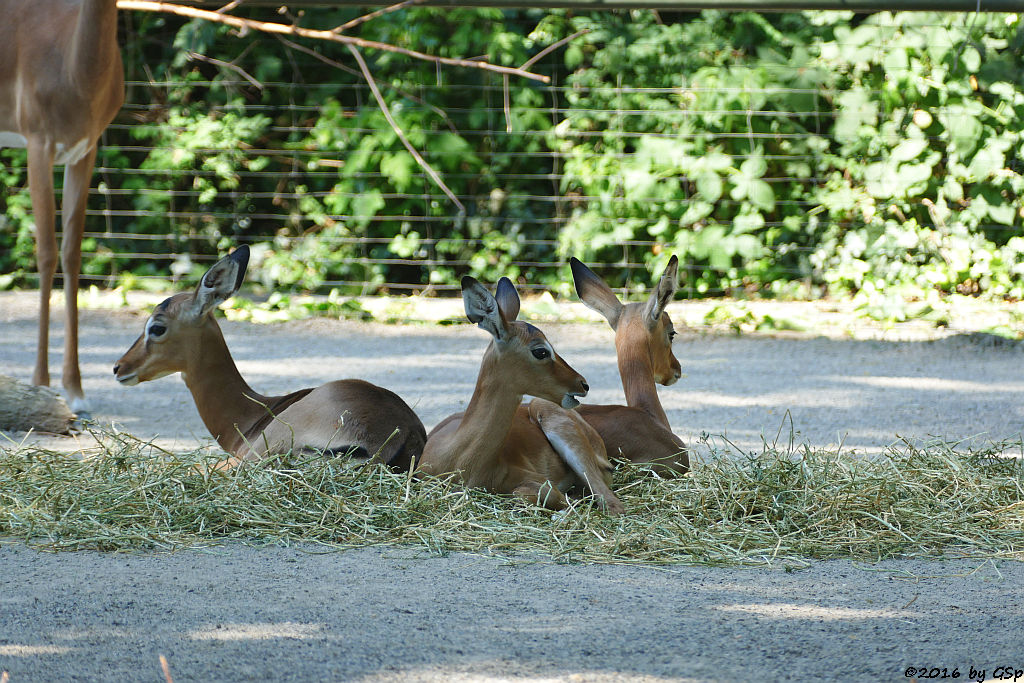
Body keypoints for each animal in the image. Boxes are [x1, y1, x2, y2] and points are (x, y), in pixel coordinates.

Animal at [1, 0, 125, 417]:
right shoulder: (37, 142)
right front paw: (40, 382)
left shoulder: (84, 149)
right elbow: (45, 252)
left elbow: (72, 253)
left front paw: (76, 390)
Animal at [415, 274, 622, 516]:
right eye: (540, 351)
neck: (461, 459)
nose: (583, 384)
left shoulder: (538, 481)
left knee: (611, 502)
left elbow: (529, 493)